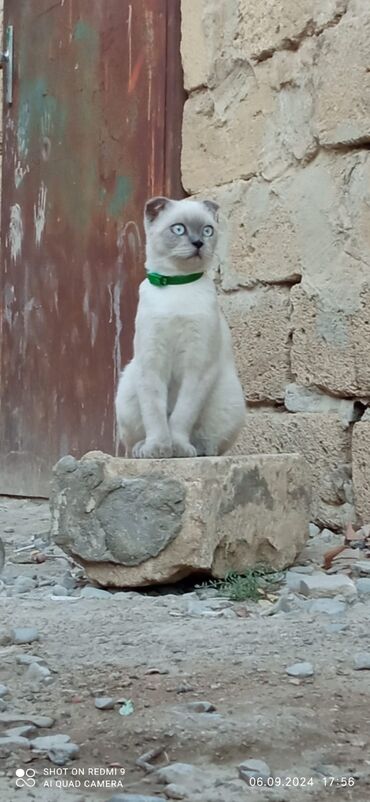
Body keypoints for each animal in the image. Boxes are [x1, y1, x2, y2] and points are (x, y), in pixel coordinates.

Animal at [115, 195, 246, 456]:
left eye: (207, 230)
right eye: (179, 229)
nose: (198, 243)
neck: (177, 283)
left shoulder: (198, 366)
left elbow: (182, 415)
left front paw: (177, 447)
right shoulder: (152, 362)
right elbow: (155, 415)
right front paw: (158, 449)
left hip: (229, 399)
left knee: (210, 441)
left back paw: (198, 449)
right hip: (127, 388)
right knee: (134, 439)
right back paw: (142, 449)